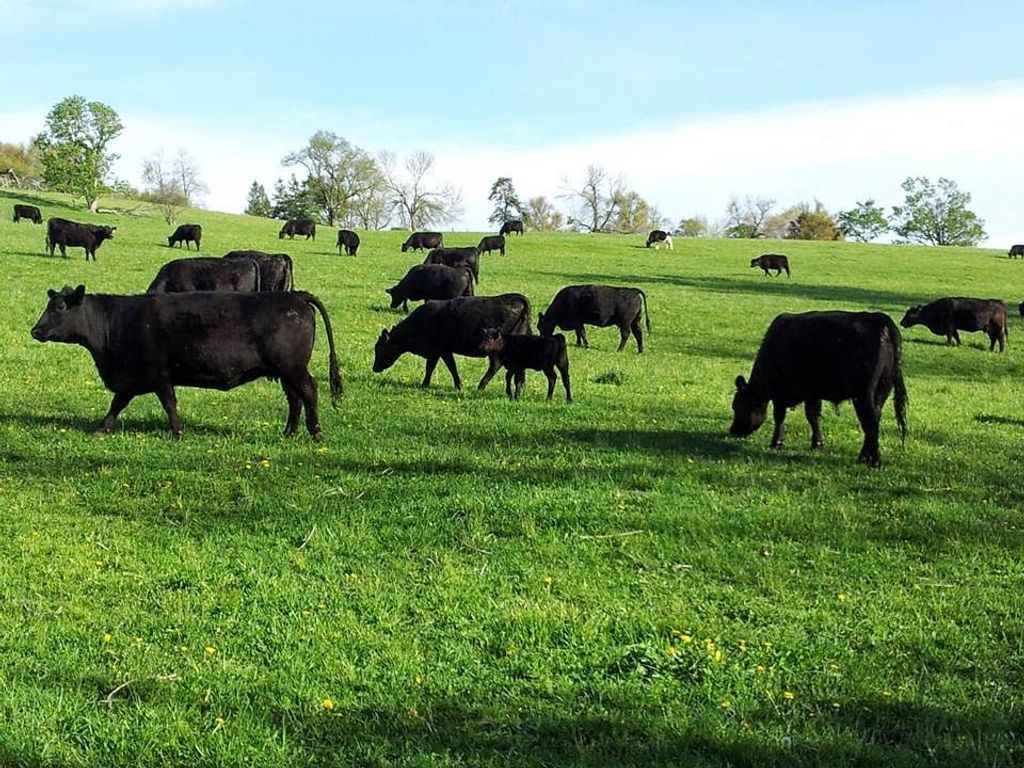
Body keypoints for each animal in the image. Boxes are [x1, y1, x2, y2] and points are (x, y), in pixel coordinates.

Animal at [29, 284, 342, 442]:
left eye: (59, 307)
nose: (35, 331)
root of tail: (295, 295)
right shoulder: (132, 378)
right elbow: (116, 404)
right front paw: (101, 429)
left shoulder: (158, 374)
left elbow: (169, 404)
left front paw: (177, 431)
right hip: (284, 372)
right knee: (294, 399)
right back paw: (289, 432)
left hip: (293, 368)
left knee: (309, 391)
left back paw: (316, 433)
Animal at [376, 294, 536, 391]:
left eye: (379, 348)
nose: (374, 368)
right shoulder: (440, 351)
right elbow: (443, 367)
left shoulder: (439, 350)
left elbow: (440, 367)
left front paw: (426, 385)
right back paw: (521, 386)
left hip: (495, 349)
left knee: (495, 365)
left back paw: (481, 386)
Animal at [733, 311, 909, 468]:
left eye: (737, 406)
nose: (732, 431)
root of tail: (880, 319)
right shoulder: (812, 393)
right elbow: (813, 416)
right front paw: (817, 443)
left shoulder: (779, 393)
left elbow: (779, 417)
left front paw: (776, 443)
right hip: (882, 390)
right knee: (873, 420)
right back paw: (864, 457)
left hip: (864, 394)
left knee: (870, 422)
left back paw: (875, 461)